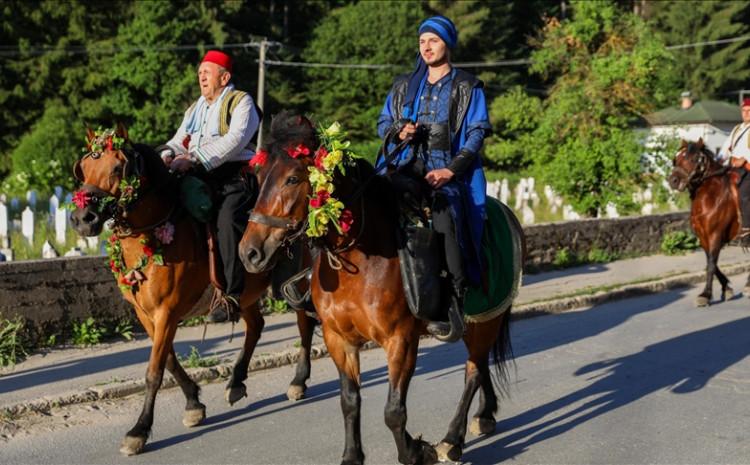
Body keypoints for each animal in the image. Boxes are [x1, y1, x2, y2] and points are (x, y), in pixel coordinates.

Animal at [68, 123, 318, 454]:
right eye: (83, 168)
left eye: (119, 168)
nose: (83, 218)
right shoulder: (146, 314)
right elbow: (168, 361)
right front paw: (193, 402)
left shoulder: (167, 312)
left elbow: (154, 371)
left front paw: (139, 430)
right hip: (246, 292)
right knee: (256, 325)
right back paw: (236, 381)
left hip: (296, 279)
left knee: (304, 323)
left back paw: (298, 381)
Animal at [242, 113, 524, 464]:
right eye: (259, 175)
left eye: (293, 179)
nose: (250, 252)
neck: (360, 259)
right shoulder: (339, 339)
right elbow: (349, 401)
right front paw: (353, 456)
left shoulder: (400, 339)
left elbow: (393, 411)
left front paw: (415, 451)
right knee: (481, 364)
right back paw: (484, 416)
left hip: (486, 319)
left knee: (473, 370)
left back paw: (452, 440)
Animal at [668, 138, 750, 304]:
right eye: (676, 159)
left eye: (694, 159)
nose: (673, 181)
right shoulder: (703, 236)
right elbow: (711, 262)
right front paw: (726, 288)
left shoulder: (715, 234)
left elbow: (711, 264)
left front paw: (705, 294)